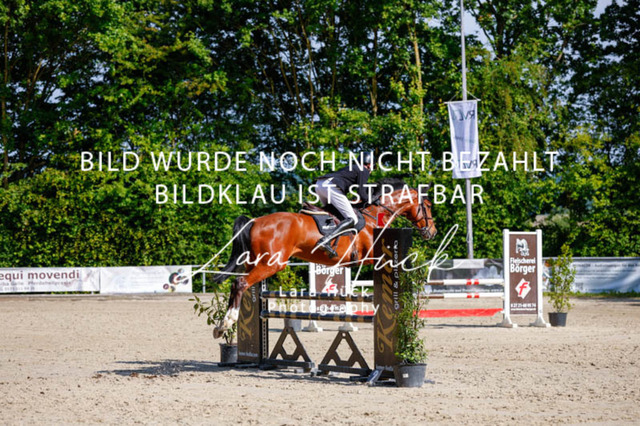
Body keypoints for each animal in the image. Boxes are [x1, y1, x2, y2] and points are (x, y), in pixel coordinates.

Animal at [210, 178, 437, 338]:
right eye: (427, 205)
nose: (432, 232)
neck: (374, 215)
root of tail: (255, 221)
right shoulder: (373, 256)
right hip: (271, 264)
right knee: (240, 283)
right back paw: (227, 323)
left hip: (255, 262)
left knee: (237, 284)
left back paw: (220, 327)